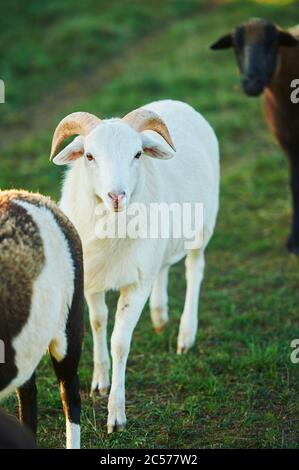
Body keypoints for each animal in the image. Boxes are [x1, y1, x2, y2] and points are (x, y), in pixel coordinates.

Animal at [50, 99, 220, 434]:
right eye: (89, 155)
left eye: (138, 154)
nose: (117, 196)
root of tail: (176, 102)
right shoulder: (92, 278)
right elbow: (98, 322)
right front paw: (99, 381)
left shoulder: (136, 285)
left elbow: (119, 341)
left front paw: (116, 413)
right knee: (163, 267)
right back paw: (159, 315)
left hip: (203, 228)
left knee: (194, 271)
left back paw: (185, 334)